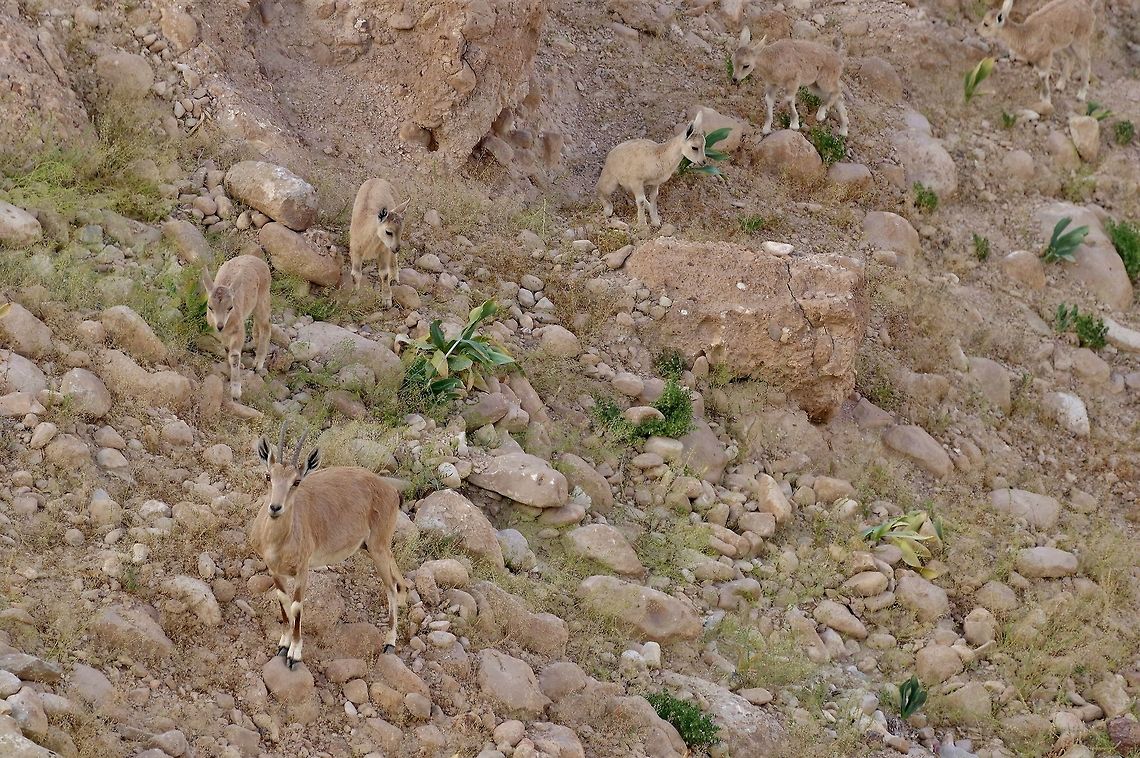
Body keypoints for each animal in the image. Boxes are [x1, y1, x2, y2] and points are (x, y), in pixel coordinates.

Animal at [201, 254, 272, 401]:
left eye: (230, 307)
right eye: (210, 307)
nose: (219, 326)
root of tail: (262, 263)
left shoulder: (238, 331)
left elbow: (234, 356)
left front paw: (235, 391)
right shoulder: (222, 336)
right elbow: (226, 350)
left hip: (262, 302)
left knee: (266, 326)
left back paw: (258, 364)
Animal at [249, 422, 408, 668]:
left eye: (296, 481)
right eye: (268, 476)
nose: (275, 508)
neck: (278, 542)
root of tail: (392, 492)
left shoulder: (303, 569)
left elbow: (296, 605)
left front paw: (294, 653)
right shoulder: (273, 569)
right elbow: (282, 600)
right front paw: (284, 643)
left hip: (378, 547)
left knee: (390, 587)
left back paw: (390, 642)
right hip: (370, 547)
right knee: (397, 578)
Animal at [349, 178, 411, 307]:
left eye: (401, 230)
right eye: (388, 231)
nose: (397, 248)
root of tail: (378, 179)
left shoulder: (384, 250)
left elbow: (384, 274)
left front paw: (386, 300)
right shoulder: (355, 250)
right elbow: (355, 275)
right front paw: (353, 299)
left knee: (393, 259)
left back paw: (395, 278)